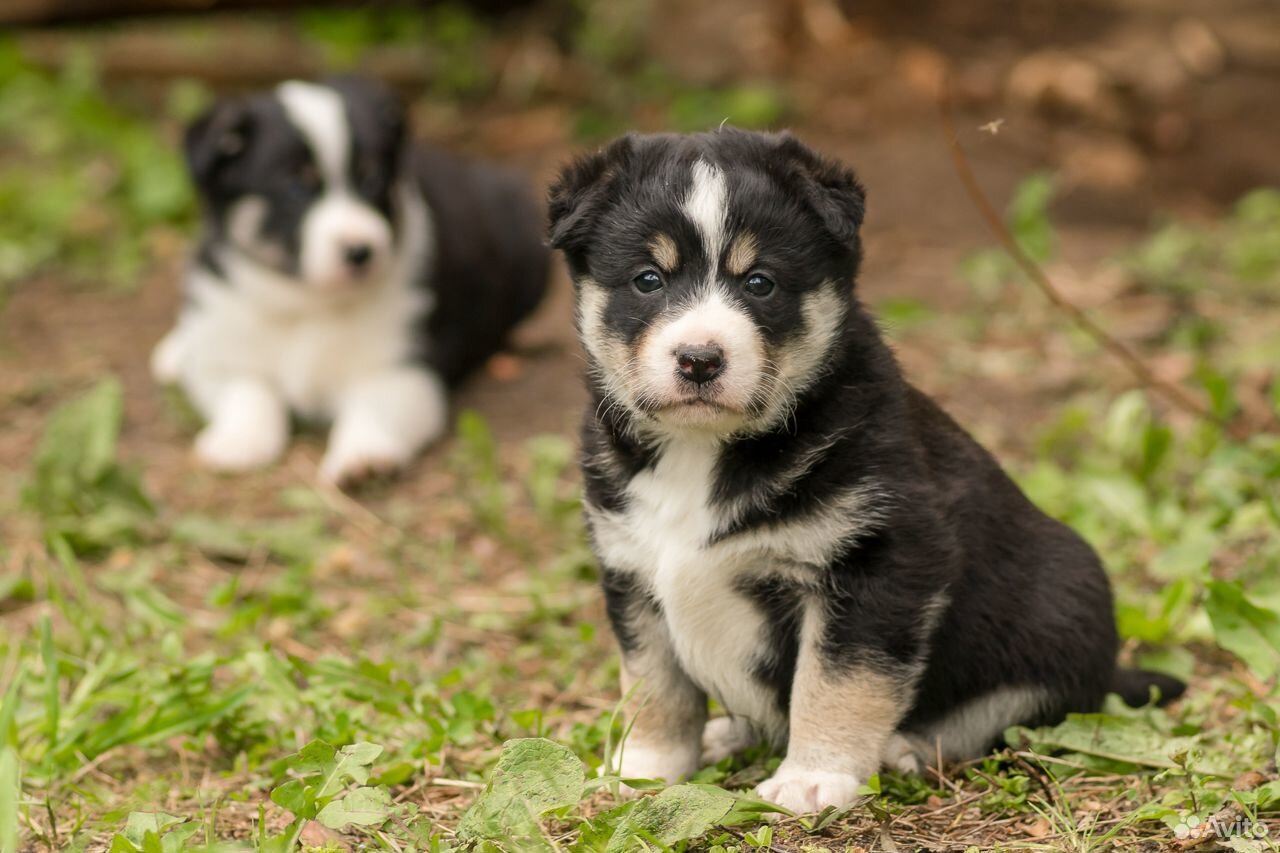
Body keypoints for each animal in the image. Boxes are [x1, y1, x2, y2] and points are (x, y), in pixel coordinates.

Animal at [152, 76, 547, 484]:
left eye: (372, 179)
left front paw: (364, 457)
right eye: (295, 185)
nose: (360, 251)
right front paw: (239, 442)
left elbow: (374, 407)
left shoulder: (405, 369)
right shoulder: (222, 353)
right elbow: (248, 389)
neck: (308, 301)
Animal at [545, 129, 1182, 814]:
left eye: (762, 283)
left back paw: (909, 748)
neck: (704, 450)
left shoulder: (880, 563)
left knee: (1008, 712)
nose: (699, 360)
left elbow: (837, 680)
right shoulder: (631, 570)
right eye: (647, 280)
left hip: (1063, 604)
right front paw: (643, 769)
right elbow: (654, 684)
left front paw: (813, 778)